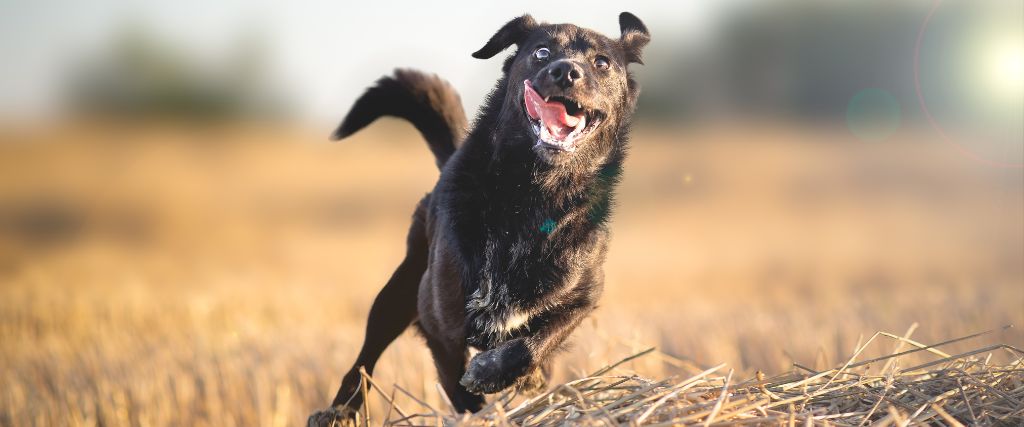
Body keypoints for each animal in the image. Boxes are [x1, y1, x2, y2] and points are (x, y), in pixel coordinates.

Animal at [307, 10, 651, 421]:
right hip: (397, 293)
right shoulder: (439, 319)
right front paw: (480, 400)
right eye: (541, 51)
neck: (533, 197)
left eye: (601, 62)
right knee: (365, 357)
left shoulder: (583, 296)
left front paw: (497, 371)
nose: (566, 71)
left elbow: (537, 342)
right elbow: (459, 389)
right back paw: (339, 411)